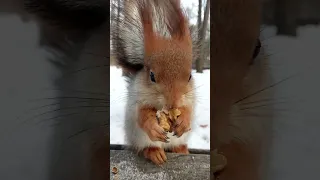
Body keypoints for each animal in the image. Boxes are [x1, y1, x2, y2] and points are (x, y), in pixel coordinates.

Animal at [111, 0, 198, 165]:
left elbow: (188, 110)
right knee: (144, 148)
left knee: (177, 145)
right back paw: (154, 152)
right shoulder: (137, 100)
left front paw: (183, 121)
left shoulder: (190, 98)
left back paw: (181, 149)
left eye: (190, 76)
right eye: (152, 76)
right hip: (138, 137)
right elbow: (142, 116)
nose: (173, 102)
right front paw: (153, 127)